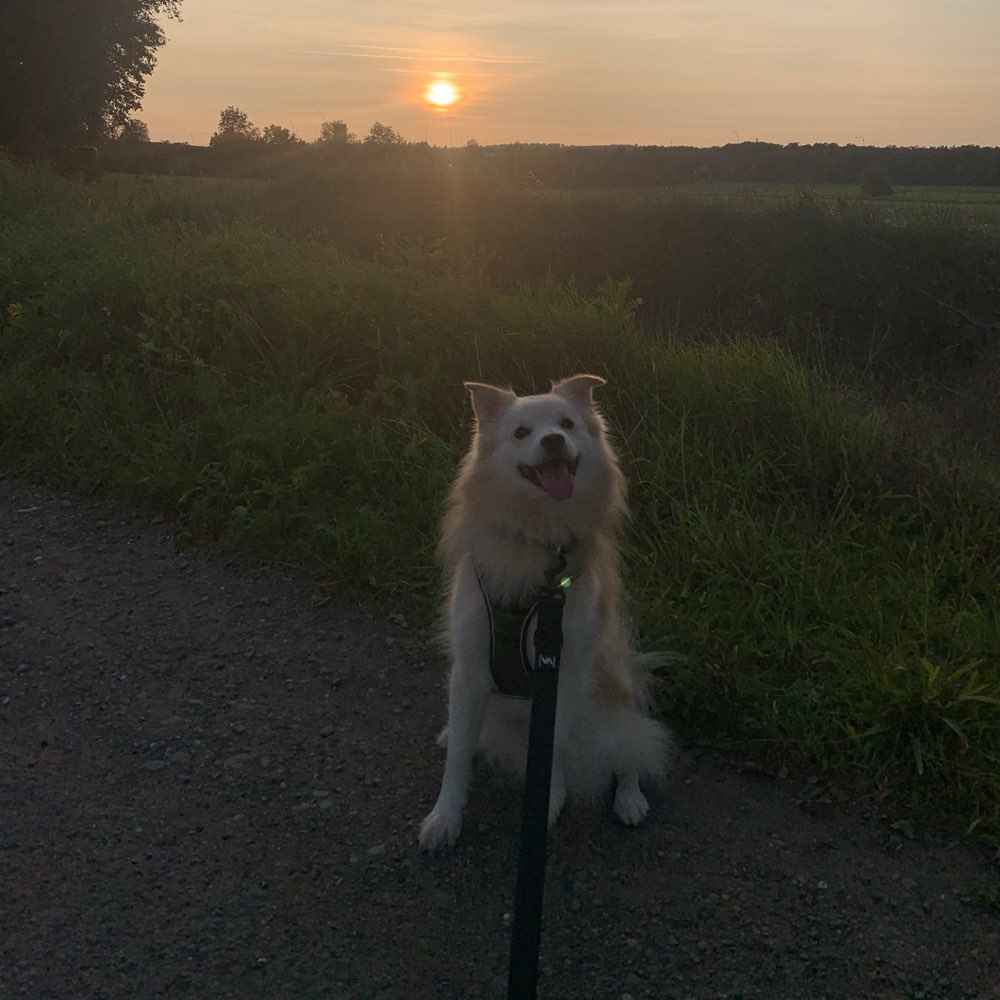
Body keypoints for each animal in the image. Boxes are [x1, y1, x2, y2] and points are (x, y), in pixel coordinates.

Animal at [418, 372, 668, 848]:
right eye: (521, 432)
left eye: (567, 424)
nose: (553, 440)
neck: (538, 536)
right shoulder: (471, 666)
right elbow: (458, 758)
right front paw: (445, 816)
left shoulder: (564, 676)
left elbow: (554, 746)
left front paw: (547, 801)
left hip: (618, 691)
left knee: (632, 748)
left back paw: (630, 798)